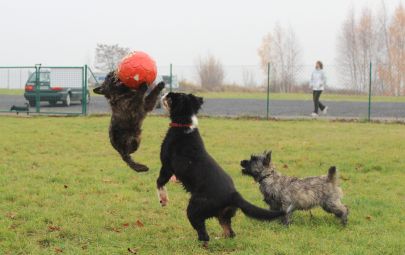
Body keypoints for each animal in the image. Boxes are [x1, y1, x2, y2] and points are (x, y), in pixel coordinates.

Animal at [156, 92, 282, 247]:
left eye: (170, 97)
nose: (163, 94)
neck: (184, 124)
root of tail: (233, 194)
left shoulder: (167, 166)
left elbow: (159, 182)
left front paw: (163, 199)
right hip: (223, 214)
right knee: (230, 233)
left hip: (195, 209)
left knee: (204, 235)